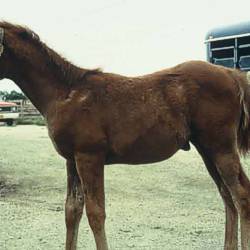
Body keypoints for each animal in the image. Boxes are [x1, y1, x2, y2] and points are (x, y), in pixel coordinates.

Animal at [0, 22, 250, 249]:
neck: (67, 93)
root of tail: (231, 73)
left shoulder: (89, 157)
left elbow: (95, 213)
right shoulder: (72, 160)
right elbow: (72, 211)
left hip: (221, 148)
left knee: (241, 195)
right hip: (208, 150)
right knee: (227, 195)